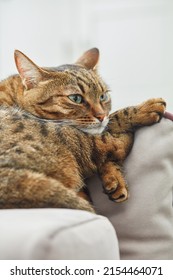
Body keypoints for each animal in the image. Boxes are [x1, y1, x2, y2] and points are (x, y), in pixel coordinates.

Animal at [0, 48, 166, 211]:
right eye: (76, 98)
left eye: (103, 96)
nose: (101, 115)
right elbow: (112, 122)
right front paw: (142, 110)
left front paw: (114, 178)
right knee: (111, 143)